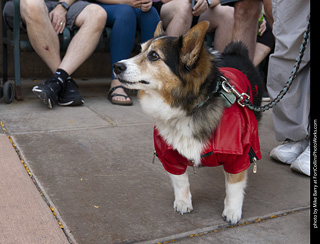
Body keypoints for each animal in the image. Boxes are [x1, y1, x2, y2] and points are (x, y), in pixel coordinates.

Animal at [114, 21, 262, 224]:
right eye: (140, 50)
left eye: (154, 56)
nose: (116, 66)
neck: (188, 107)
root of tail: (237, 53)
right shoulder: (169, 155)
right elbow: (180, 181)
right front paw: (183, 203)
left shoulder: (239, 154)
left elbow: (234, 185)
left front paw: (232, 211)